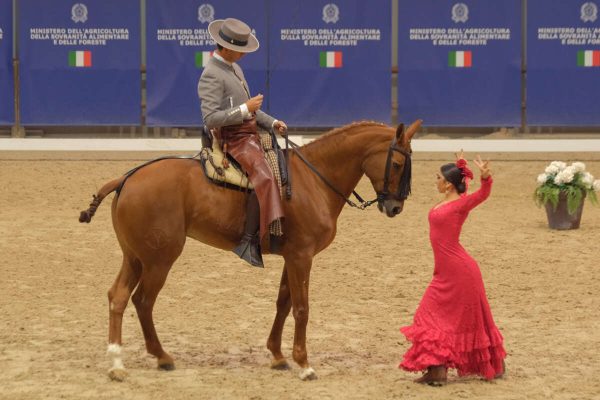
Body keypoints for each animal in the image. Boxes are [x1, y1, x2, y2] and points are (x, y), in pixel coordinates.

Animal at [77, 119, 420, 382]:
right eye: (398, 164)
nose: (396, 207)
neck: (314, 180)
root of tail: (127, 177)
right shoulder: (302, 257)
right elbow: (301, 308)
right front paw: (304, 363)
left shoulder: (292, 257)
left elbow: (283, 303)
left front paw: (278, 355)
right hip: (159, 260)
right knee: (143, 301)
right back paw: (158, 356)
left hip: (135, 258)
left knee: (118, 297)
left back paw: (118, 362)